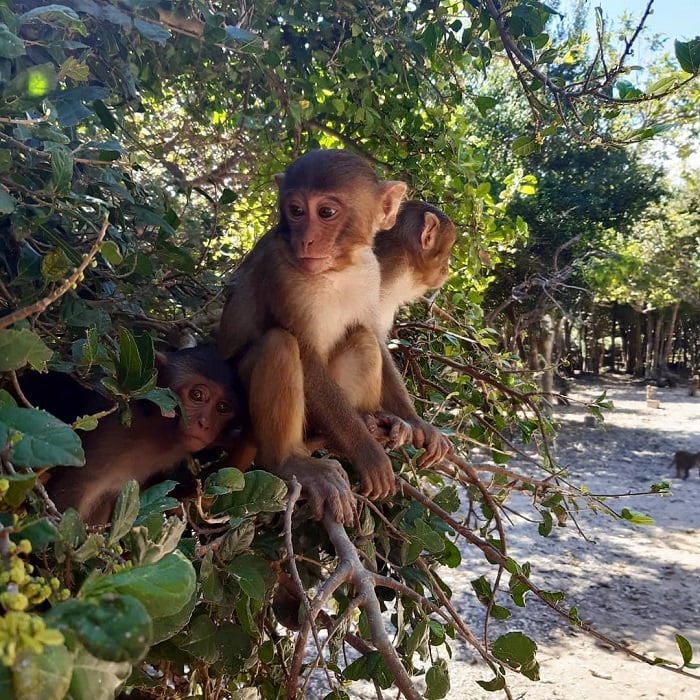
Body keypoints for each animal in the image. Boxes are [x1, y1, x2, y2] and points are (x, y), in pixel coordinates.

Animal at [217, 149, 404, 524]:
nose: (305, 240)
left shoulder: (370, 270)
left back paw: (363, 421)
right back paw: (290, 460)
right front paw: (367, 452)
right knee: (279, 344)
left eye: (326, 213)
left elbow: (374, 337)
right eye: (297, 210)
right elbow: (306, 356)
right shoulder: (282, 271)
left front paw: (415, 424)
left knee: (361, 338)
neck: (338, 269)